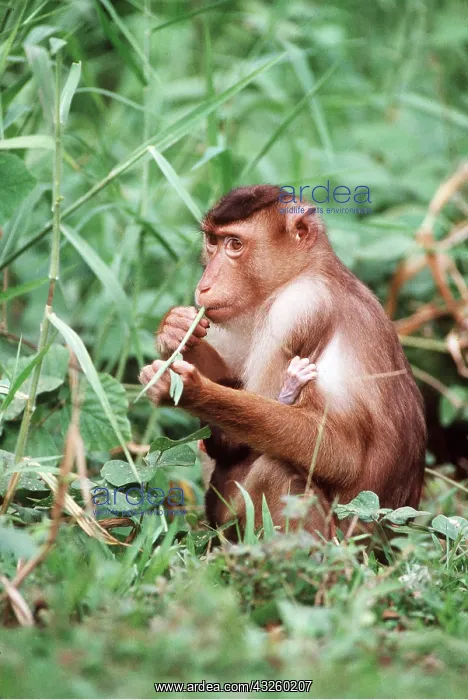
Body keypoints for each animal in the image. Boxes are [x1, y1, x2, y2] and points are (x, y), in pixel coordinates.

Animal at [139, 185, 427, 539]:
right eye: (212, 241)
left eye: (235, 245)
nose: (205, 285)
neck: (305, 270)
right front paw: (177, 329)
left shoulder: (295, 311)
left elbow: (341, 455)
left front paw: (191, 391)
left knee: (277, 468)